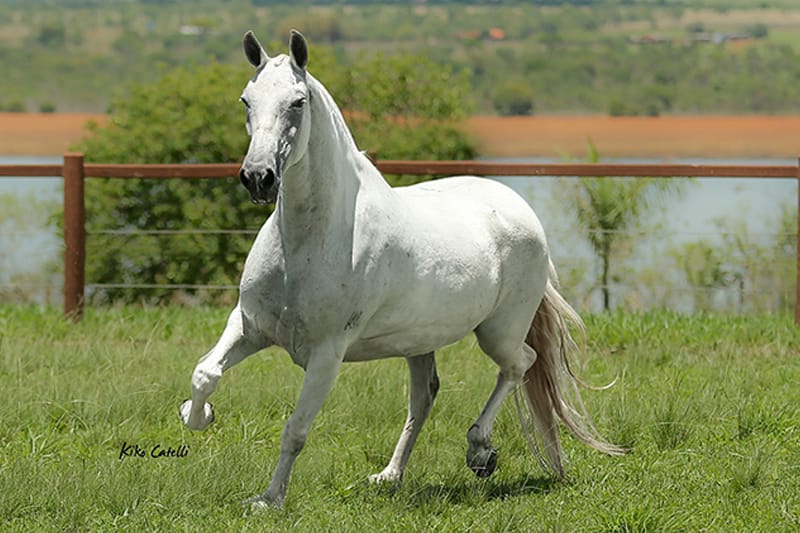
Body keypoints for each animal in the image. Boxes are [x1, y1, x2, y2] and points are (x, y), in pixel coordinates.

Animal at [181, 28, 624, 508]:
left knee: (520, 364)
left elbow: (295, 431)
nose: (258, 178)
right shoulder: (249, 326)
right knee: (424, 399)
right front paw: (198, 415)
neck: (306, 243)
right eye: (246, 100)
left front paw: (268, 500)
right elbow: (204, 373)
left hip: (498, 332)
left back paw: (480, 452)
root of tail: (519, 207)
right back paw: (389, 476)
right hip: (419, 343)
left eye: (297, 102)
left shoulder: (326, 354)